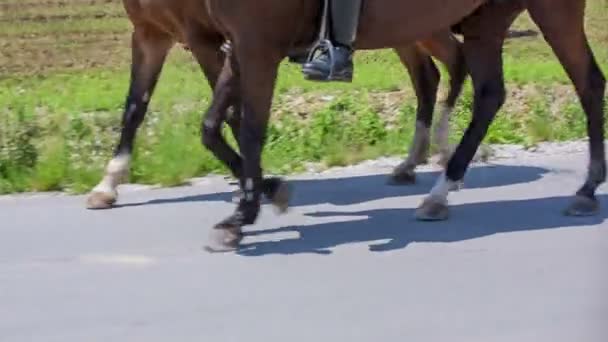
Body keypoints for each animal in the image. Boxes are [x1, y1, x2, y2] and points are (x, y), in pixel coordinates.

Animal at [84, 0, 466, 211]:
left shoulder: (207, 39)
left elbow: (233, 116)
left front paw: (261, 183)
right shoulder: (150, 34)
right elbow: (134, 108)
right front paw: (107, 185)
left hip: (423, 25)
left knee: (455, 63)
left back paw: (444, 157)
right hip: (406, 30)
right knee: (429, 76)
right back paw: (413, 163)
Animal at [203, 0, 604, 251]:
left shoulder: (258, 46)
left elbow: (251, 131)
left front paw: (240, 217)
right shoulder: (240, 46)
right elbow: (211, 125)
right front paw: (268, 193)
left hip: (552, 8)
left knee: (588, 83)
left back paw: (586, 190)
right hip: (484, 19)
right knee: (489, 94)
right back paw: (439, 192)